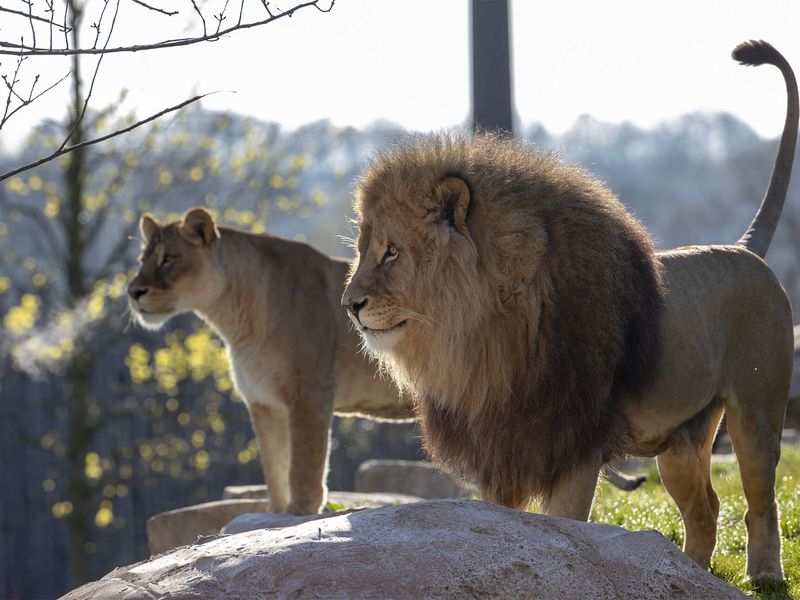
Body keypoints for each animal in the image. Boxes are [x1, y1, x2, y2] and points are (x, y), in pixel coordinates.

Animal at [129, 209, 412, 512]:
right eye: (142, 260)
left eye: (168, 259)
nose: (133, 292)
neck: (236, 320)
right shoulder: (263, 402)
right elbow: (275, 471)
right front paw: (277, 511)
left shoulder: (309, 394)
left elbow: (303, 468)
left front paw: (299, 512)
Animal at [340, 38, 796, 580]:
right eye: (362, 251)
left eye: (391, 252)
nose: (349, 305)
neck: (483, 334)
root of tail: (746, 250)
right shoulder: (501, 447)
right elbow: (499, 523)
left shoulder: (576, 441)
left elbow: (566, 526)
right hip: (679, 439)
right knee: (706, 510)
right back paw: (687, 574)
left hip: (756, 407)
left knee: (760, 499)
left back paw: (763, 575)